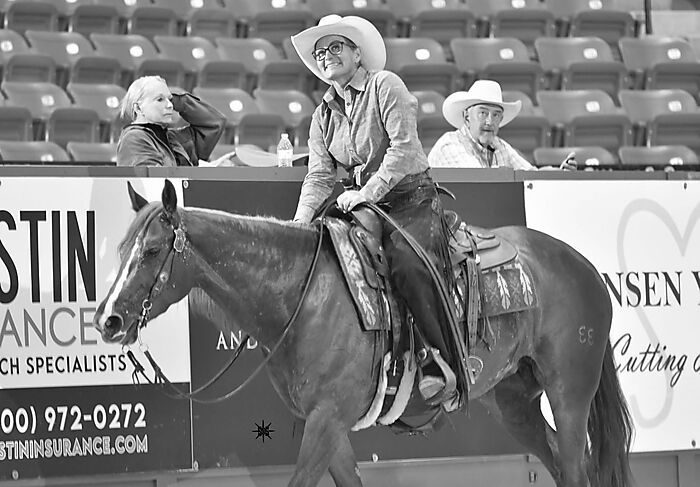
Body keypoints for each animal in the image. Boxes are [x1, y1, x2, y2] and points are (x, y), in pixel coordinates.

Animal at [93, 180, 633, 487]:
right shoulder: (327, 423)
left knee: (577, 466)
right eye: (121, 249)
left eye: (152, 250)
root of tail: (584, 266)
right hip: (515, 402)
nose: (108, 320)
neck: (303, 295)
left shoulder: (327, 418)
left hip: (570, 394)